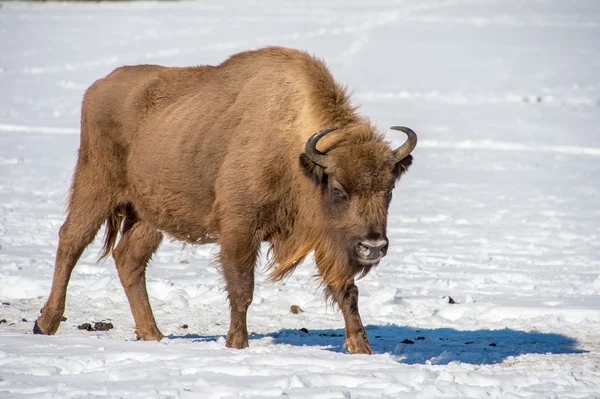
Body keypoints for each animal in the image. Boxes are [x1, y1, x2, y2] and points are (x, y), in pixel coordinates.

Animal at [34, 45, 418, 354]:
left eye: (389, 189)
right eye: (338, 189)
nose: (374, 246)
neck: (297, 154)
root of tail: (97, 87)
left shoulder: (329, 240)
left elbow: (346, 290)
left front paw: (361, 349)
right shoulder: (240, 228)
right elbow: (242, 288)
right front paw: (237, 344)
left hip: (148, 216)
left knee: (128, 259)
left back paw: (153, 335)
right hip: (96, 187)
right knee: (71, 242)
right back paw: (45, 324)